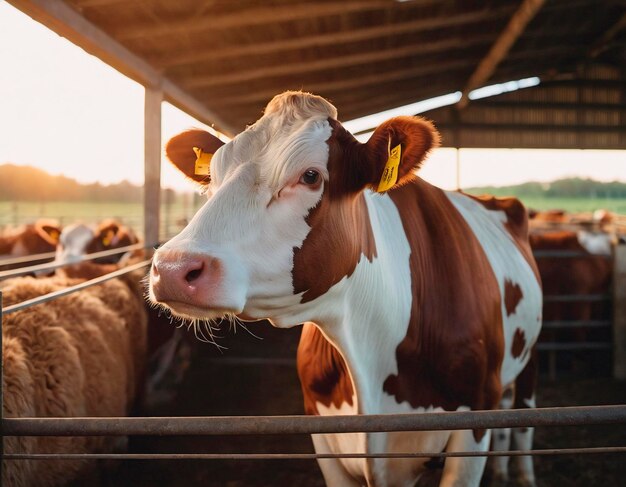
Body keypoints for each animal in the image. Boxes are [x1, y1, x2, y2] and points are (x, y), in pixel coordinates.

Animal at [147, 91, 540, 487]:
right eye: (212, 176)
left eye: (310, 175)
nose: (172, 268)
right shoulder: (325, 435)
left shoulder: (473, 422)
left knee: (522, 412)